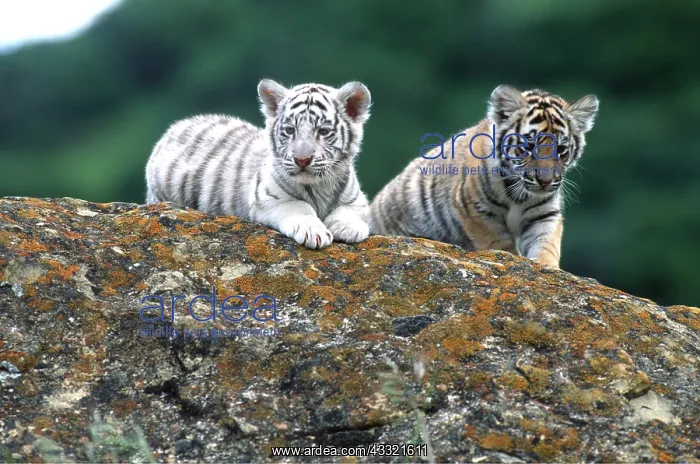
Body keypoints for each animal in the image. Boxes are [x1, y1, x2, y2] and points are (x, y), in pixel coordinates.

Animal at [145, 79, 372, 249]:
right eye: (290, 130)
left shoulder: (357, 200)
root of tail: (176, 126)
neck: (319, 186)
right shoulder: (271, 199)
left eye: (323, 131)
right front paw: (312, 232)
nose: (302, 159)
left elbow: (348, 210)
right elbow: (300, 207)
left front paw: (349, 228)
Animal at [370, 85, 598, 269]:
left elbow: (546, 245)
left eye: (560, 149)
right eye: (529, 145)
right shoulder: (476, 210)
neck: (520, 194)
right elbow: (499, 244)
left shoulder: (544, 214)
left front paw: (547, 267)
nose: (545, 181)